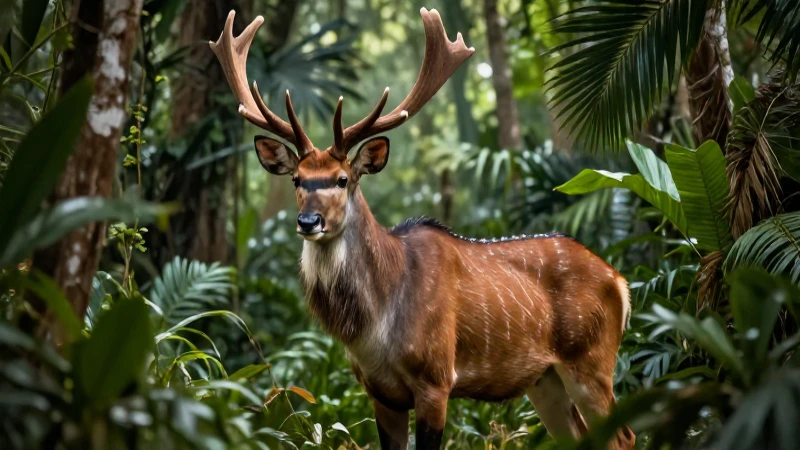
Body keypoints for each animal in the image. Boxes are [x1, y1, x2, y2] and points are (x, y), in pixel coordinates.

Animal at [211, 8, 635, 450]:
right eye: (297, 179)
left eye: (343, 179)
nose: (309, 221)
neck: (375, 328)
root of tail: (621, 282)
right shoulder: (379, 392)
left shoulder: (436, 377)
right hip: (545, 380)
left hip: (591, 359)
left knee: (624, 435)